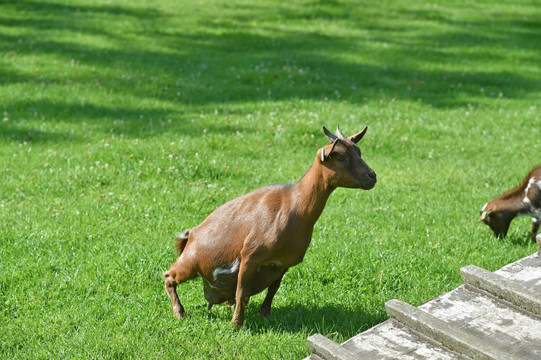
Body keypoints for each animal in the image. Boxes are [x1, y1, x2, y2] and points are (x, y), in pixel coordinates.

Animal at [162, 125, 378, 328]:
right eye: (340, 156)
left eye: (358, 151)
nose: (372, 176)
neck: (294, 206)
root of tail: (190, 235)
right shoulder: (250, 256)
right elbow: (242, 293)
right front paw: (236, 324)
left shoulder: (282, 263)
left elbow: (273, 290)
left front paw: (266, 316)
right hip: (190, 264)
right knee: (169, 276)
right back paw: (180, 313)